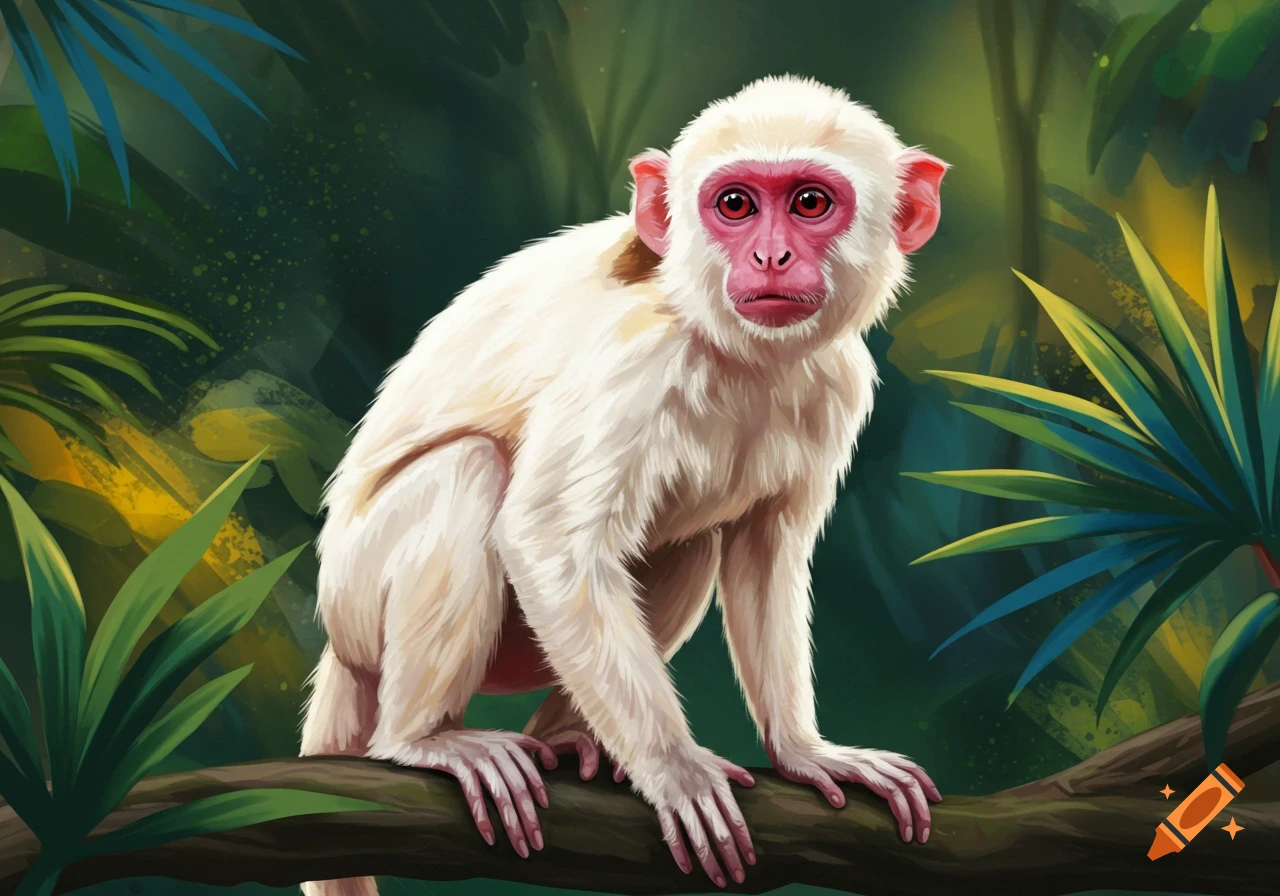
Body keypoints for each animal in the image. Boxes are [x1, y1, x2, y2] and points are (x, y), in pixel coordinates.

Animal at [299, 75, 946, 896]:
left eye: (808, 203)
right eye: (736, 205)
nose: (770, 256)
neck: (728, 345)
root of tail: (339, 639)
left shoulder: (837, 383)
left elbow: (765, 555)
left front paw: (805, 751)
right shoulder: (633, 362)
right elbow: (545, 542)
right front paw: (673, 770)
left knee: (691, 541)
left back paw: (569, 737)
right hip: (355, 595)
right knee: (470, 470)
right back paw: (420, 739)